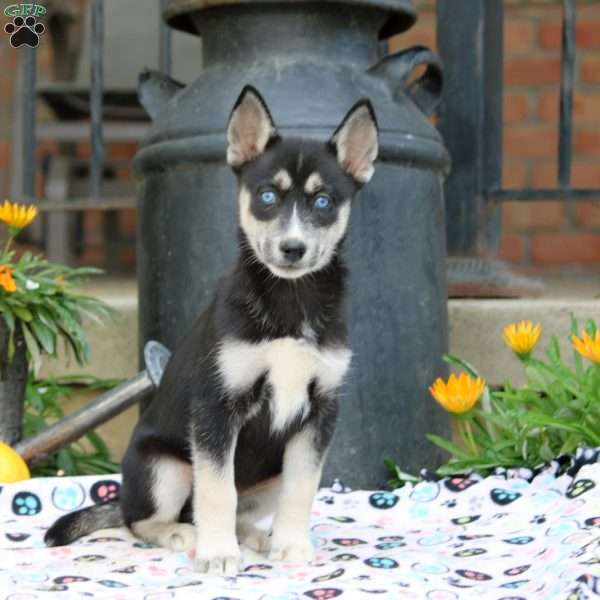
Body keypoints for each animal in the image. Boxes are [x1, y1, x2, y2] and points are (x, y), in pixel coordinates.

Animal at [45, 85, 380, 576]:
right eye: (266, 196)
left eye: (322, 202)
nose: (292, 248)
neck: (290, 298)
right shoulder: (217, 408)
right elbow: (219, 490)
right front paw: (218, 554)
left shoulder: (319, 413)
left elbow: (301, 489)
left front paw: (291, 546)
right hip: (165, 467)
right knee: (140, 520)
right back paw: (184, 534)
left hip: (269, 475)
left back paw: (256, 536)